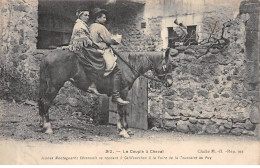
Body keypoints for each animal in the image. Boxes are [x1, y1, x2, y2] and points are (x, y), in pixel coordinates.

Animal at [38, 47, 173, 138]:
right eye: (168, 65)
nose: (170, 83)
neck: (128, 65)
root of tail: (47, 56)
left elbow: (122, 110)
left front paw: (124, 128)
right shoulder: (122, 92)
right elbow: (121, 110)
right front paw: (123, 131)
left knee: (41, 101)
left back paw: (42, 124)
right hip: (54, 86)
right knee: (46, 103)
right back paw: (48, 128)